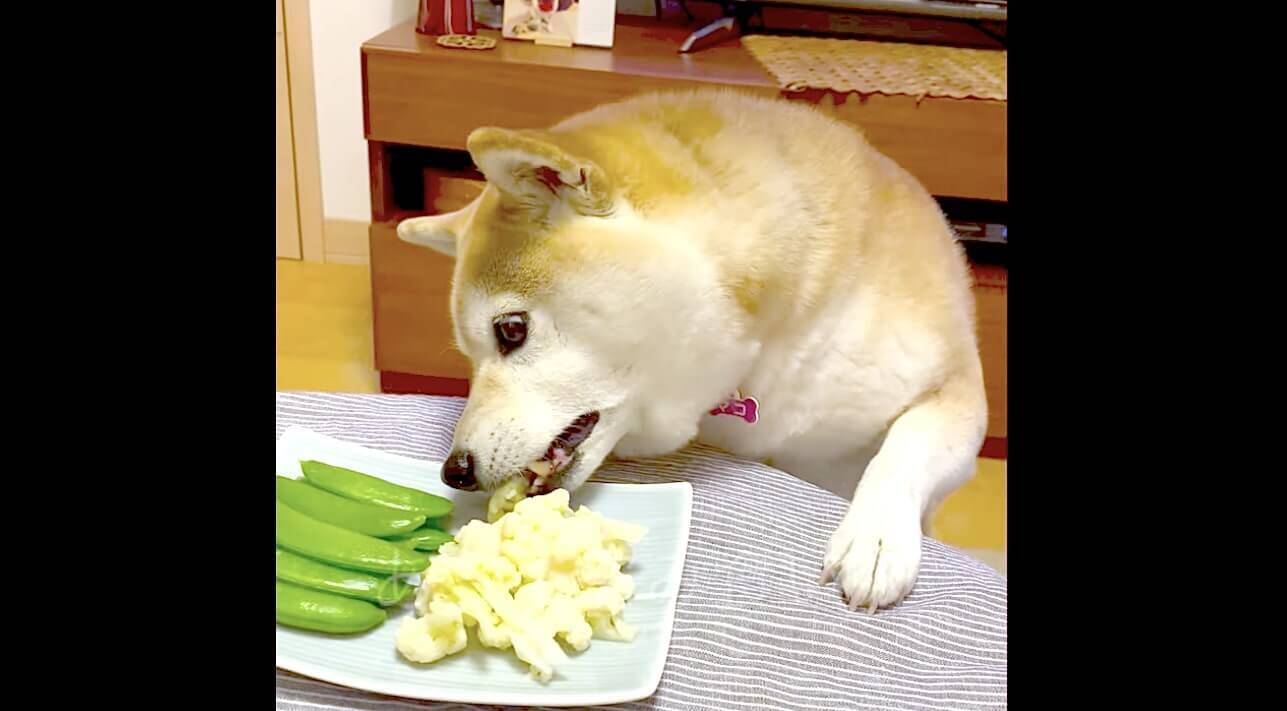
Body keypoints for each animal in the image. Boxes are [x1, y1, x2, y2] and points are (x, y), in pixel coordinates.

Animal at [396, 88, 988, 610]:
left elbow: (907, 445)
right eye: (468, 356)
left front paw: (877, 536)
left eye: (511, 330)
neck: (765, 354)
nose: (454, 471)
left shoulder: (956, 386)